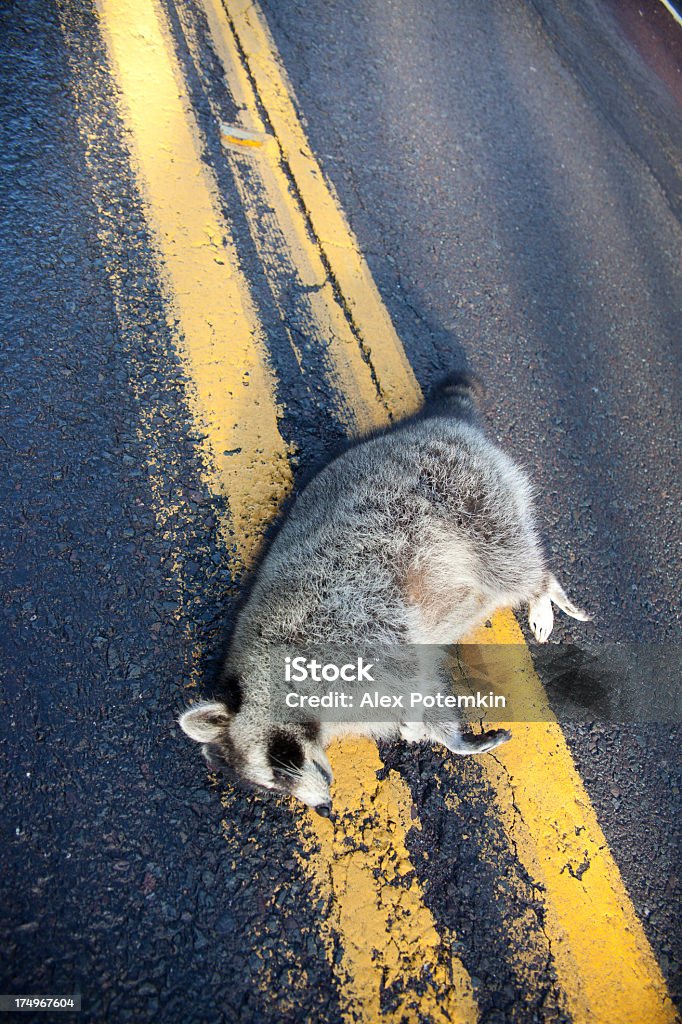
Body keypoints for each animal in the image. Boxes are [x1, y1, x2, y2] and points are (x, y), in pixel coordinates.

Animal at [178, 376, 585, 815]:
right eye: (274, 789)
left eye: (280, 764)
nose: (324, 810)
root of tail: (439, 421)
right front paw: (444, 736)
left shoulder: (345, 624)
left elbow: (413, 670)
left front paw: (428, 726)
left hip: (471, 499)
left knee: (511, 565)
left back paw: (542, 588)